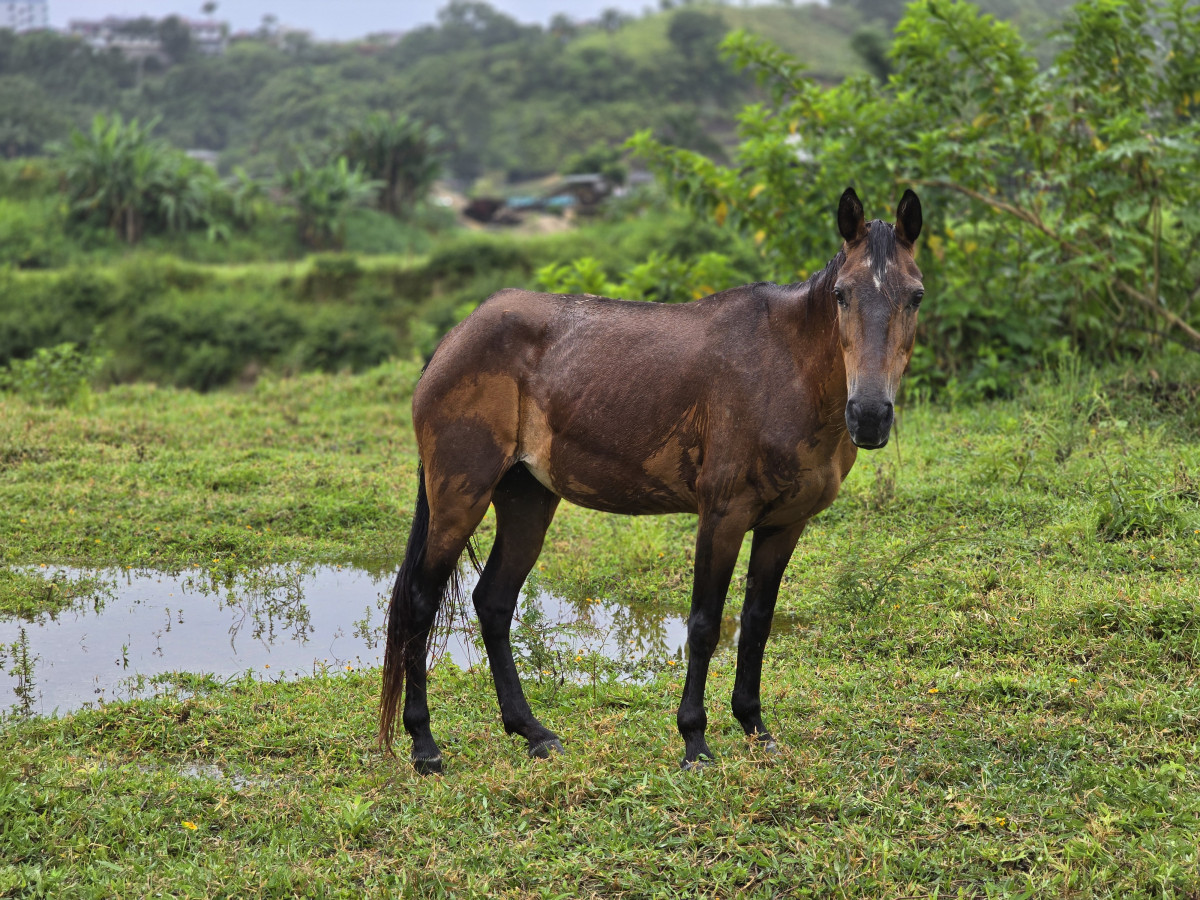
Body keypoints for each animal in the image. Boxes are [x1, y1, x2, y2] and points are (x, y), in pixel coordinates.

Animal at [379, 184, 921, 777]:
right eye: (842, 295)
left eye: (915, 297)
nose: (869, 415)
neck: (786, 369)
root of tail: (454, 338)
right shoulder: (723, 515)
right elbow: (705, 623)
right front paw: (695, 741)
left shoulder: (784, 524)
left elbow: (756, 621)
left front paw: (755, 727)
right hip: (461, 496)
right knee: (420, 601)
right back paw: (424, 745)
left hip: (527, 500)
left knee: (493, 603)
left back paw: (533, 732)